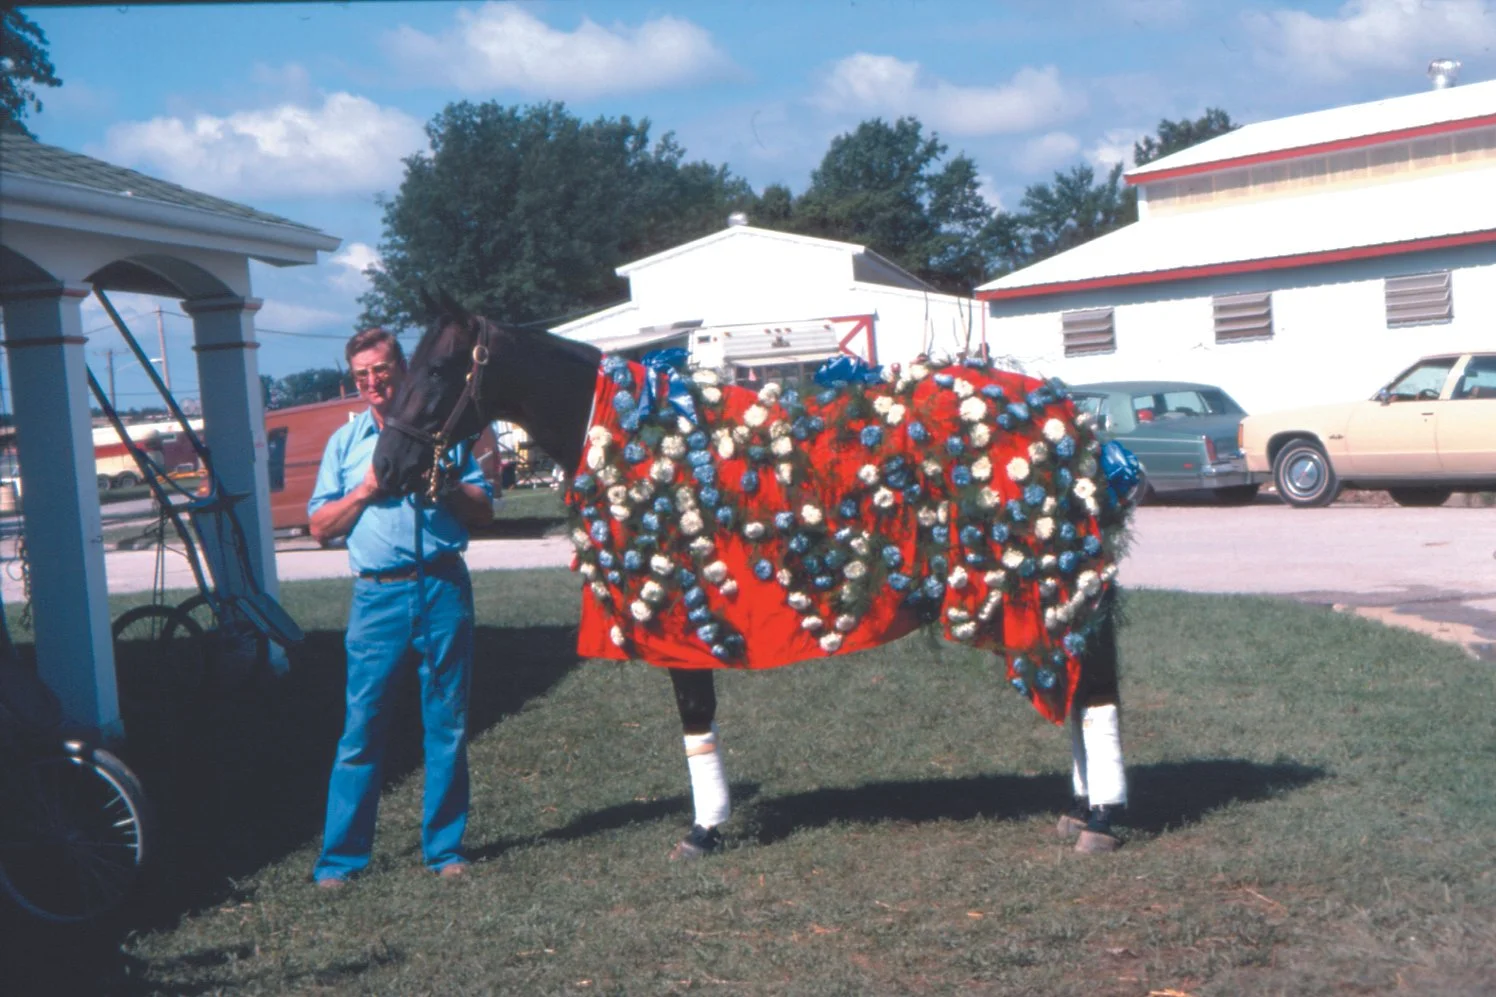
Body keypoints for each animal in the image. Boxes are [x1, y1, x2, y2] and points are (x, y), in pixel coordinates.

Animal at [371, 296, 1135, 857]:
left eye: (437, 370)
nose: (386, 468)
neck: (634, 438)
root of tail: (1068, 420)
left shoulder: (683, 615)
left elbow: (695, 714)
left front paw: (702, 830)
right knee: (1071, 678)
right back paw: (1080, 806)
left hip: (1054, 576)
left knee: (1093, 683)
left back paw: (1102, 819)